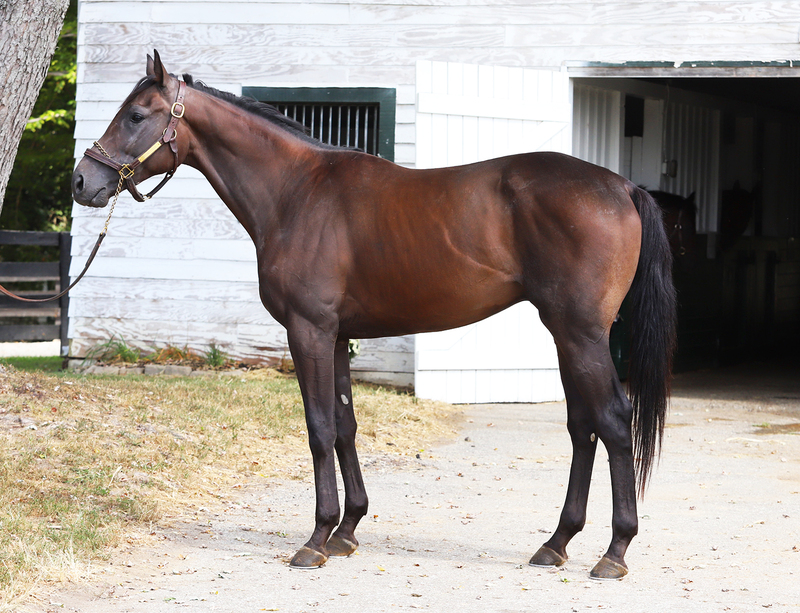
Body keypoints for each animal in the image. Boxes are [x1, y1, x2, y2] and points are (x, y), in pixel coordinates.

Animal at [73, 52, 676, 580]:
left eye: (136, 115)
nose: (82, 182)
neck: (296, 193)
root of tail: (621, 186)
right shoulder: (338, 337)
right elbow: (345, 426)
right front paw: (347, 531)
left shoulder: (309, 330)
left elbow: (318, 427)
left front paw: (316, 539)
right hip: (566, 335)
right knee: (582, 426)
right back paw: (556, 543)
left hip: (581, 334)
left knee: (613, 421)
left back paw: (615, 551)